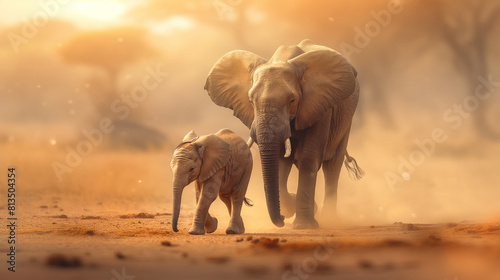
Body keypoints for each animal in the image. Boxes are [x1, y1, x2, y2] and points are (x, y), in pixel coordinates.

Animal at [203, 39, 364, 229]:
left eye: (292, 100)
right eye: (250, 101)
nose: (280, 219)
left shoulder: (321, 106)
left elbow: (308, 158)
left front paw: (303, 225)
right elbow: (280, 161)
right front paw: (290, 208)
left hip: (346, 120)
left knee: (332, 167)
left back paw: (330, 219)